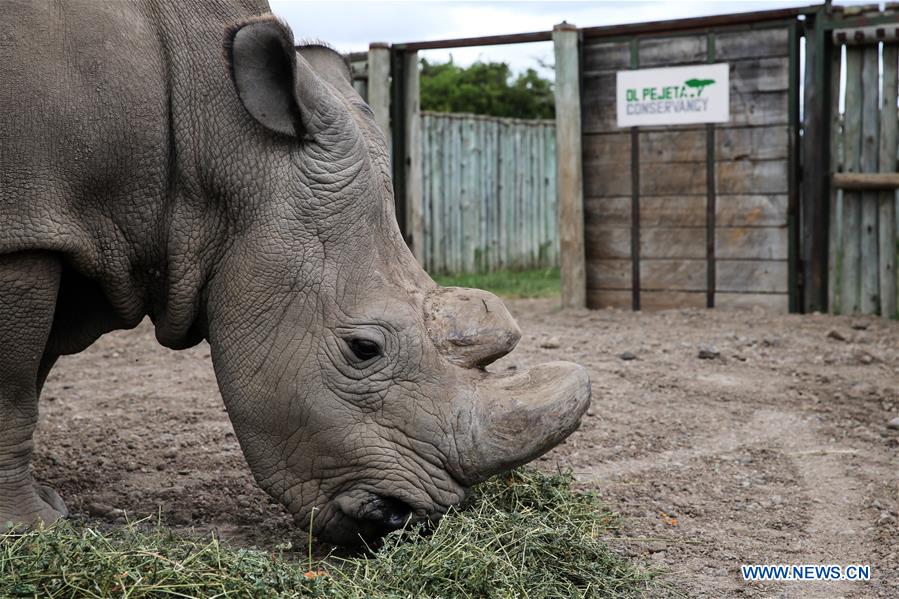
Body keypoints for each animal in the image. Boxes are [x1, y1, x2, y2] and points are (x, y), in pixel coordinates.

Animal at [0, 0, 591, 545]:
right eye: (363, 349)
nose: (403, 522)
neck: (215, 140)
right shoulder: (26, 230)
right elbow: (15, 386)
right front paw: (31, 528)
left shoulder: (65, 227)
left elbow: (35, 370)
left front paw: (45, 508)